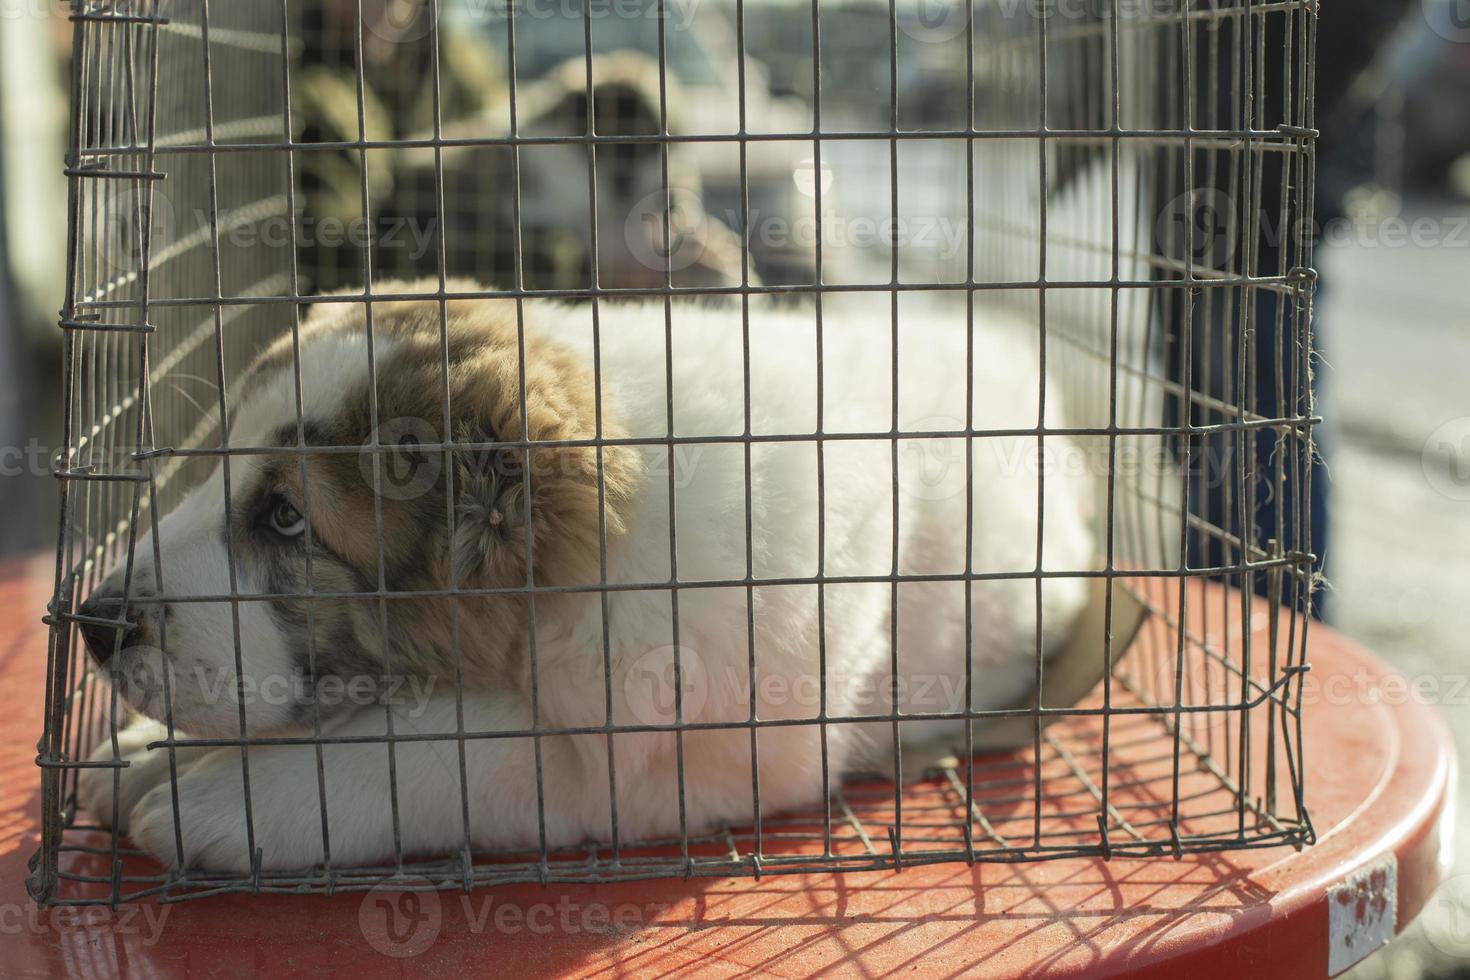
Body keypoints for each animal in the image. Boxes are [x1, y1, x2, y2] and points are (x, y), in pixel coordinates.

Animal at [77, 279, 1093, 869]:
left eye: (288, 518)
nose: (91, 622)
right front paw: (149, 749)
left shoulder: (663, 754)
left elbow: (447, 743)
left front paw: (229, 794)